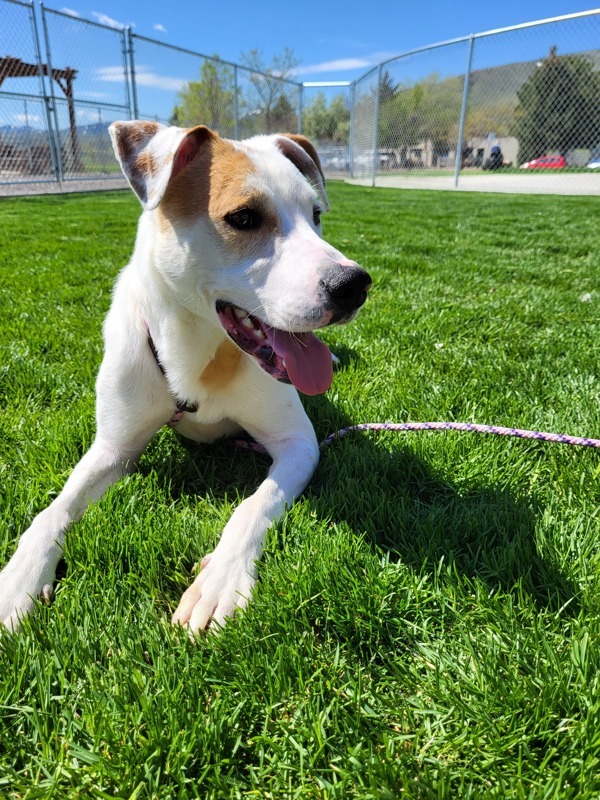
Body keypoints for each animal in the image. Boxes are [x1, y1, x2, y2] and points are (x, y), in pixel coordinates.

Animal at [0, 120, 370, 632]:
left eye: (315, 214)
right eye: (244, 218)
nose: (354, 285)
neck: (200, 355)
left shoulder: (298, 443)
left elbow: (253, 505)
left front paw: (218, 580)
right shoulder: (114, 448)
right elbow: (54, 509)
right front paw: (18, 578)